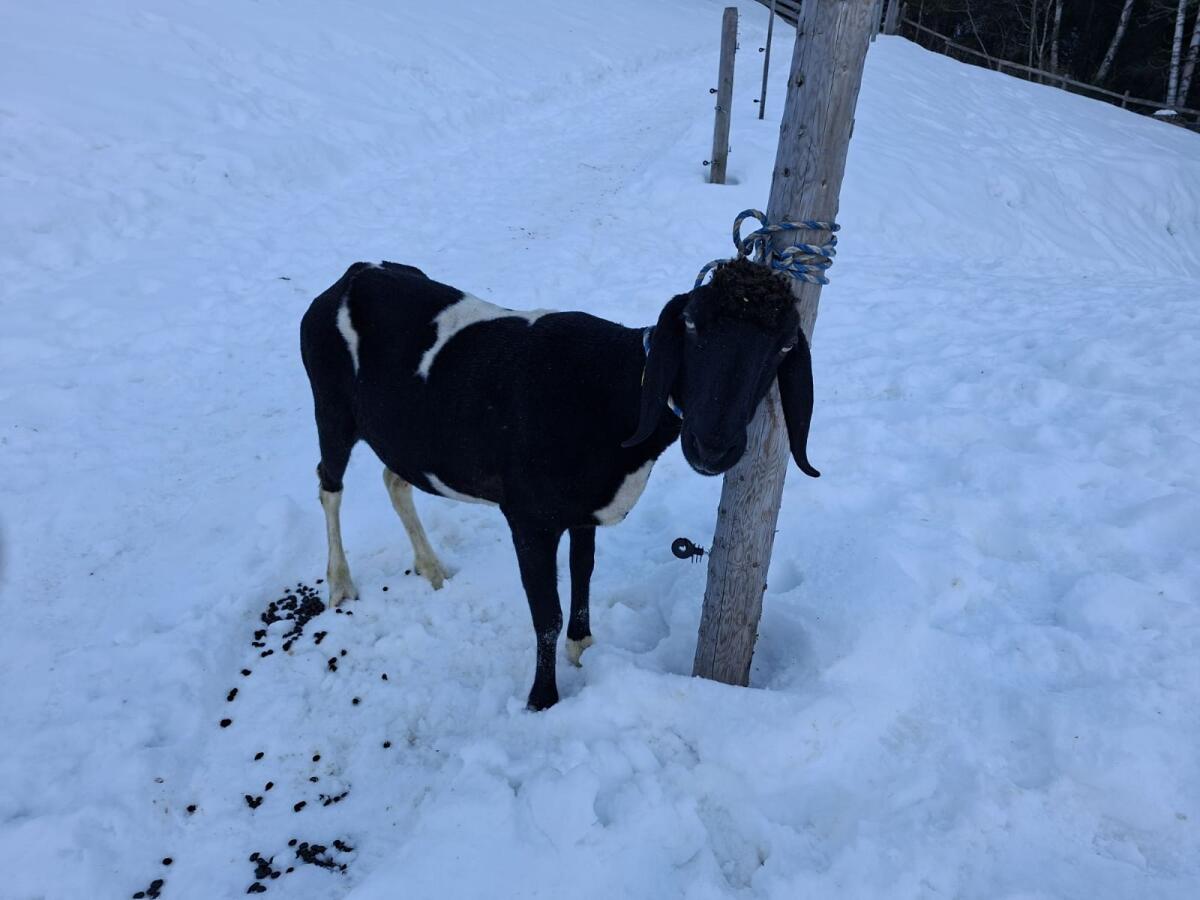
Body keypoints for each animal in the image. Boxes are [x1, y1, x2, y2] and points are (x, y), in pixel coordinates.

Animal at [299, 257, 819, 710]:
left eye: (785, 346)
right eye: (691, 324)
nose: (712, 446)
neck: (615, 394)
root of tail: (355, 275)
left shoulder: (583, 510)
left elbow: (583, 571)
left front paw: (583, 649)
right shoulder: (529, 518)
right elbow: (545, 613)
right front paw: (542, 698)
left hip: (406, 436)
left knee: (394, 477)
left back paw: (432, 568)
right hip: (331, 406)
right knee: (329, 486)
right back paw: (341, 584)